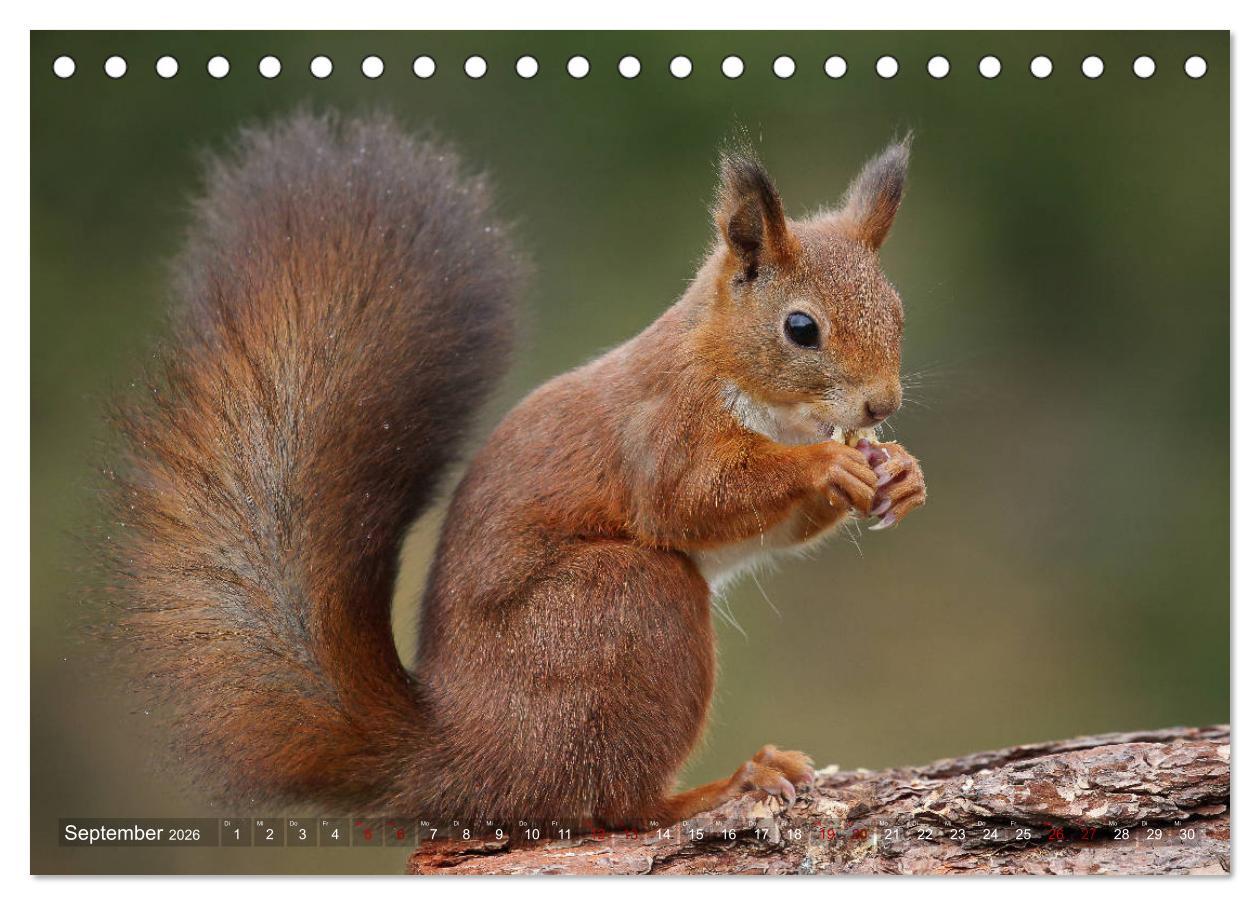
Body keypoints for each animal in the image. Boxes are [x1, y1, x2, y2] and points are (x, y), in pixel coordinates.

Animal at [104, 111, 926, 826]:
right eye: (801, 328)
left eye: (898, 310)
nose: (882, 404)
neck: (744, 383)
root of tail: (464, 757)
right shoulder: (662, 428)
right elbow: (689, 498)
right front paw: (828, 463)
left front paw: (900, 474)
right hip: (628, 608)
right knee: (612, 804)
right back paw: (725, 786)